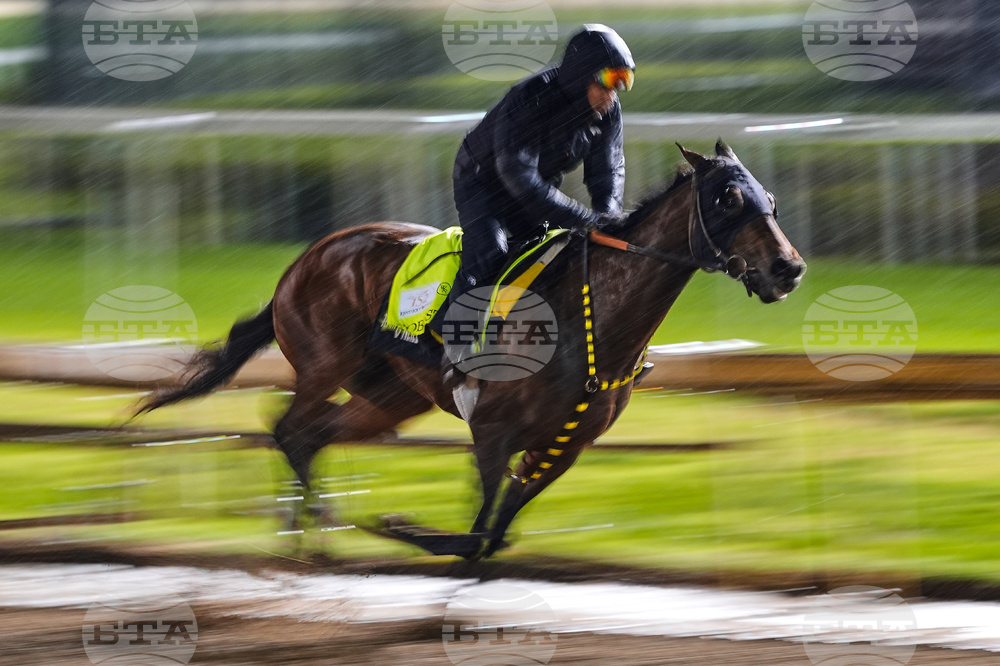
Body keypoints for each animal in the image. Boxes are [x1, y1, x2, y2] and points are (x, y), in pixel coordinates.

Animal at [135, 141, 805, 559]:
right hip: (326, 362)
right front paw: (397, 524)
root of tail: (306, 260)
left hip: (392, 395)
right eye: (726, 198)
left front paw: (401, 528)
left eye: (769, 198)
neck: (592, 324)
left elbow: (494, 537)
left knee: (312, 435)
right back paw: (312, 532)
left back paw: (313, 536)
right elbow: (478, 532)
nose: (789, 268)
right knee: (287, 427)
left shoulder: (560, 449)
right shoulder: (493, 432)